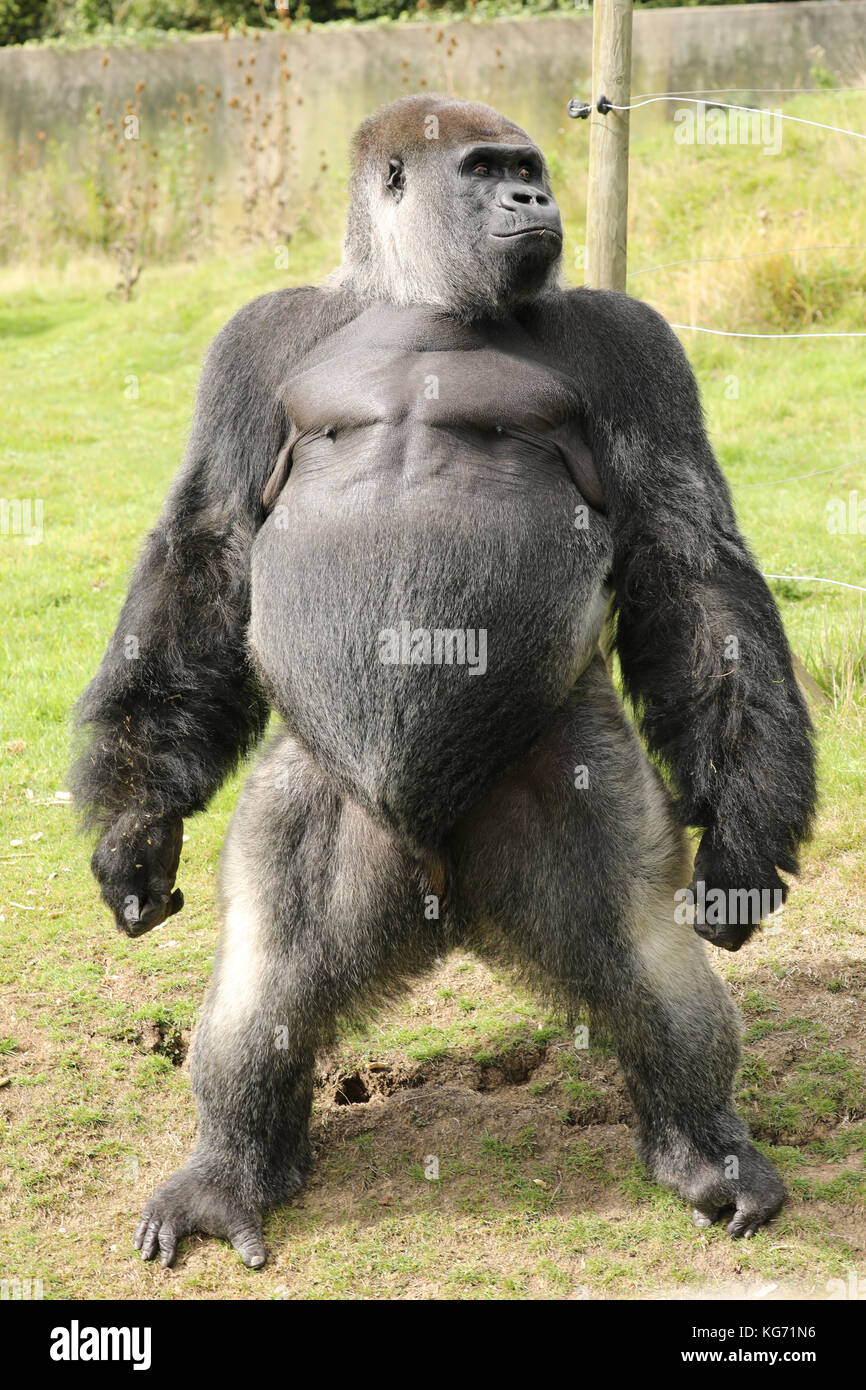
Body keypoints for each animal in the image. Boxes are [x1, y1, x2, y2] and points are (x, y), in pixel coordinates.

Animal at [72, 95, 816, 1268]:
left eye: (527, 166)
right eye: (483, 171)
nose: (534, 196)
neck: (413, 292)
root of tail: (443, 896)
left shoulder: (631, 342)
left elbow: (689, 561)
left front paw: (743, 839)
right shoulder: (253, 342)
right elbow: (209, 544)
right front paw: (137, 824)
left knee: (644, 956)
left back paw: (704, 1149)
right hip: (328, 801)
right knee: (268, 976)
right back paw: (231, 1167)